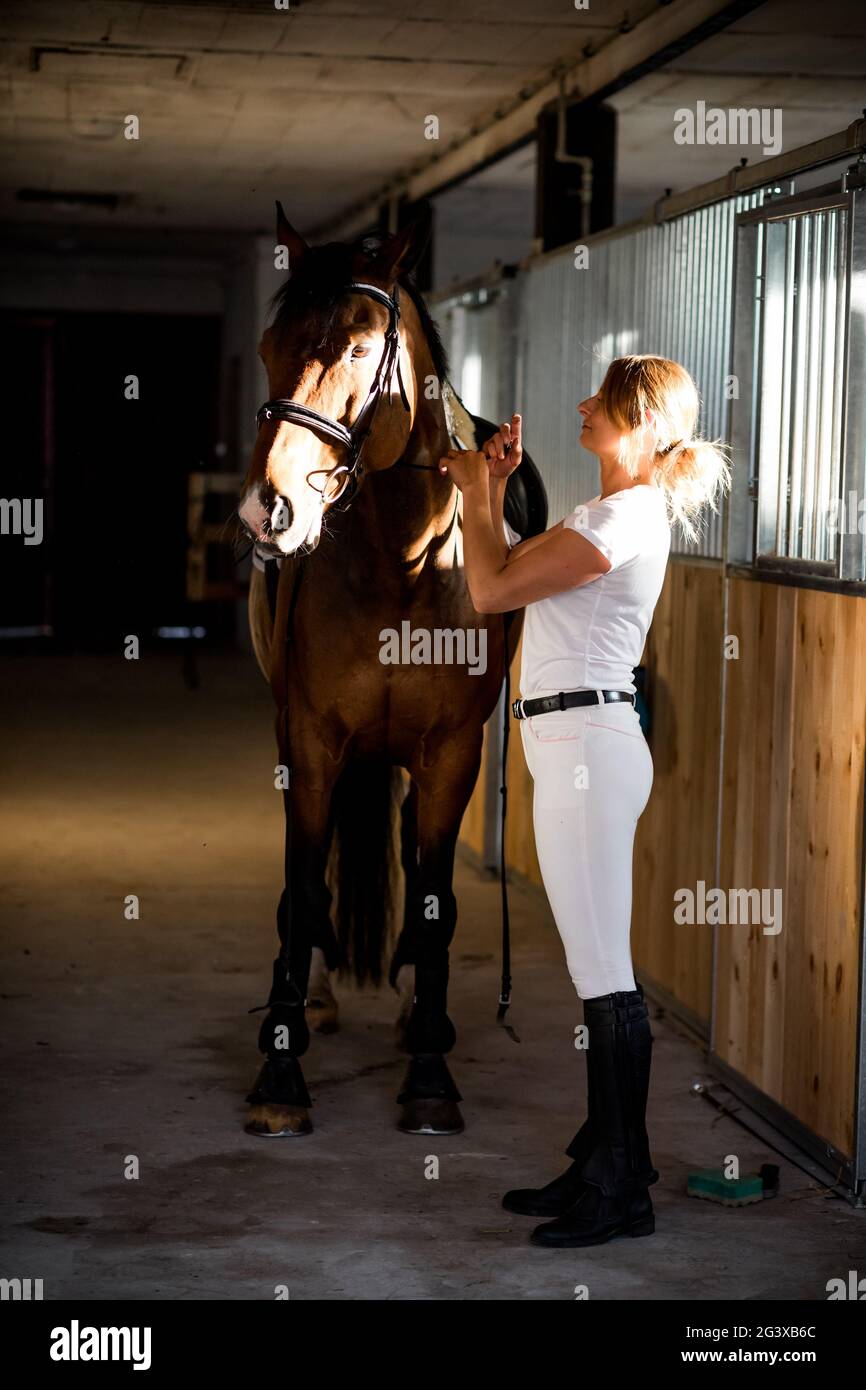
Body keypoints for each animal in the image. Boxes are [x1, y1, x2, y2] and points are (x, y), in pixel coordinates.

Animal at [234, 205, 547, 1139]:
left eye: (358, 348)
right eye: (269, 344)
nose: (267, 508)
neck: (402, 564)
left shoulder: (450, 753)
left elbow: (436, 894)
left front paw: (431, 1080)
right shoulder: (309, 742)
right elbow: (304, 882)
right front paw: (280, 1072)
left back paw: (418, 1015)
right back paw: (315, 997)